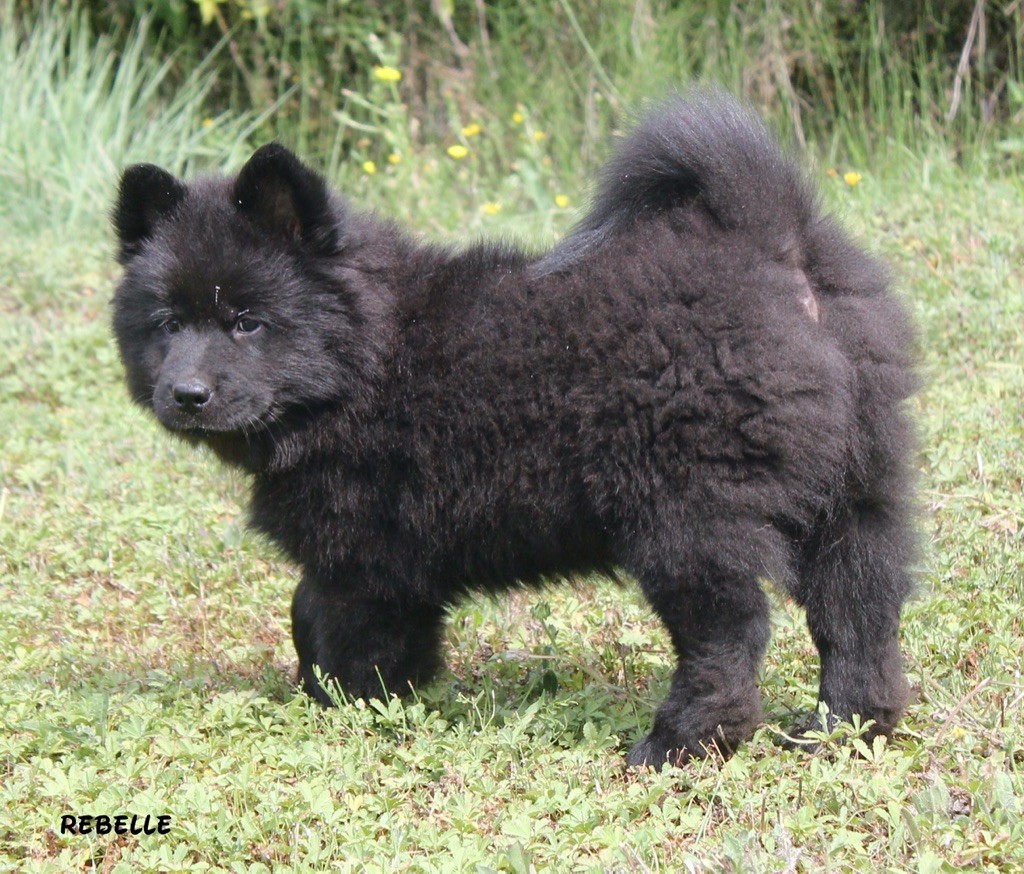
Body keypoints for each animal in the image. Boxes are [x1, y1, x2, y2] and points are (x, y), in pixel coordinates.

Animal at [114, 92, 921, 769]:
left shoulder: (361, 557)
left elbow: (329, 624)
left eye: (247, 322)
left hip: (685, 512)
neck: (366, 353)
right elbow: (315, 618)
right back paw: (844, 729)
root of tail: (771, 241)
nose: (185, 394)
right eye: (169, 324)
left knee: (730, 633)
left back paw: (679, 744)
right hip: (855, 489)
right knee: (860, 610)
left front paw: (347, 707)